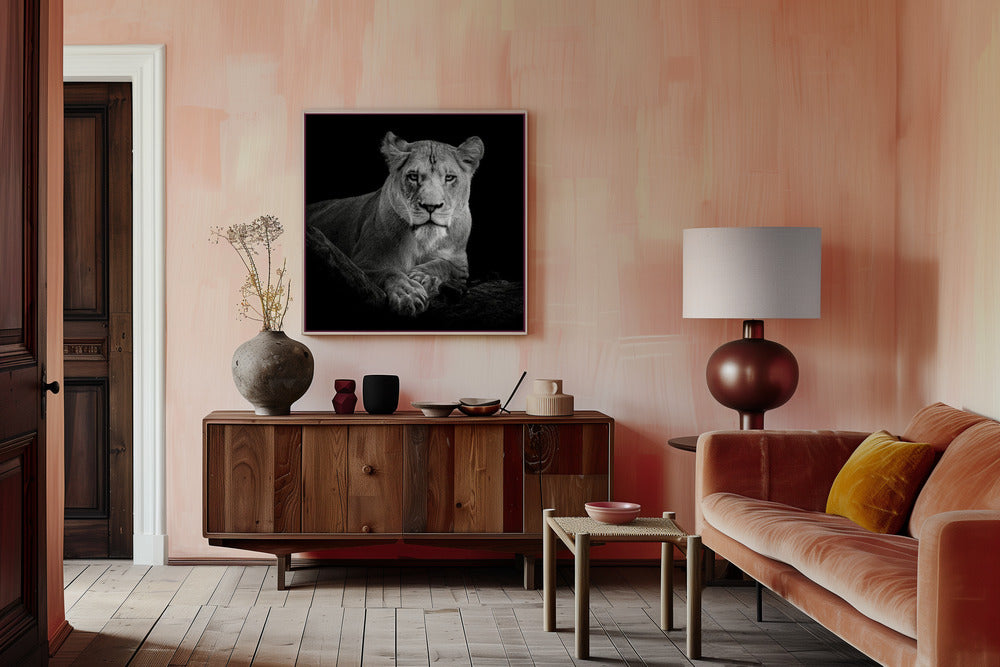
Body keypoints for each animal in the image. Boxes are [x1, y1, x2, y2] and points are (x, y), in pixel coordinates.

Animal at [306, 131, 485, 317]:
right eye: (413, 176)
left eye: (449, 178)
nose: (431, 206)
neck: (423, 242)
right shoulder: (361, 264)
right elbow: (390, 272)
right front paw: (408, 294)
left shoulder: (460, 265)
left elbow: (444, 265)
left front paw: (423, 277)